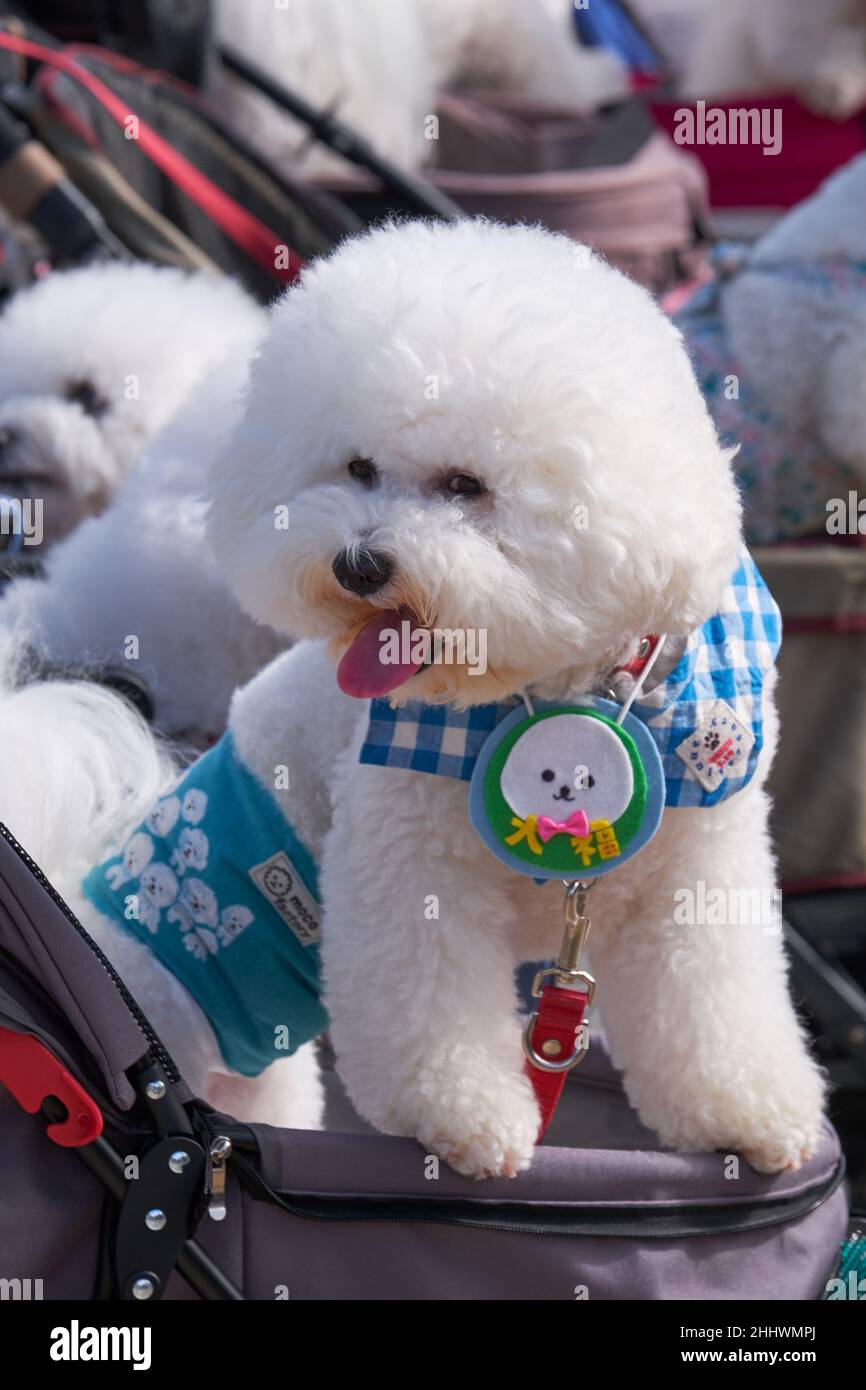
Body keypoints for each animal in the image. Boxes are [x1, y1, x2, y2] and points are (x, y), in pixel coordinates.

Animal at [6, 222, 828, 1178]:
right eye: (358, 468)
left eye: (466, 485)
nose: (356, 565)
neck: (565, 690)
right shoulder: (407, 854)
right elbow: (427, 1003)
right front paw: (466, 1116)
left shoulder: (697, 865)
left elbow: (713, 1000)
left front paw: (744, 1109)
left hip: (264, 1080)